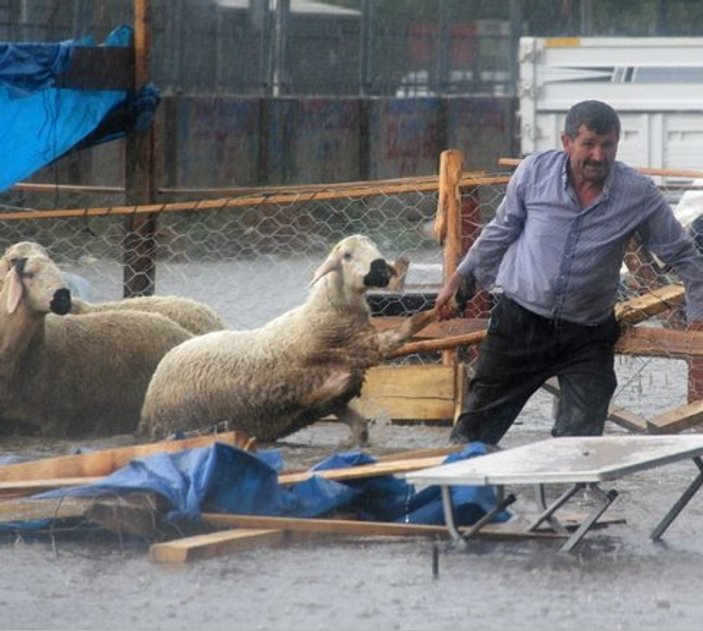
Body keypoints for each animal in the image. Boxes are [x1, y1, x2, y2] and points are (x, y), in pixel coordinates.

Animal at [137, 235, 434, 446]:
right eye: (347, 255)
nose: (382, 271)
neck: (327, 311)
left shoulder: (335, 398)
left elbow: (360, 428)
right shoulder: (353, 351)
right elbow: (401, 332)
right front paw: (433, 312)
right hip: (176, 419)